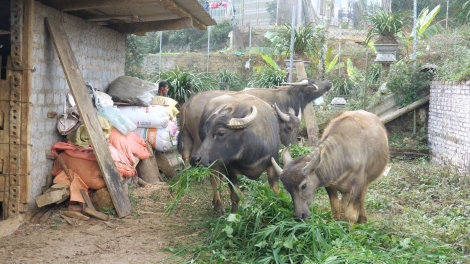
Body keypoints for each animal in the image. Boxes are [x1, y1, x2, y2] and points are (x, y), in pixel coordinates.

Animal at [177, 78, 334, 164]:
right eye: (312, 81)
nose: (329, 82)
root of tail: (189, 102)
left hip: (186, 134)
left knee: (185, 154)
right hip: (198, 138)